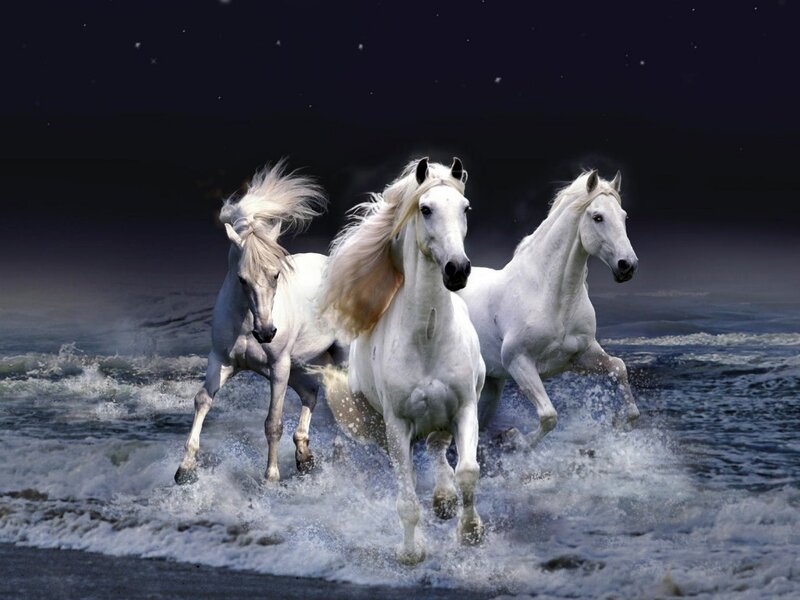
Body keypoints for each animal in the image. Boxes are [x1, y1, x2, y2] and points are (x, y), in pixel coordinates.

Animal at [174, 161, 348, 485]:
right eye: (242, 279)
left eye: (276, 274)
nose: (266, 333)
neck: (246, 323)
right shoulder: (222, 360)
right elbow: (202, 400)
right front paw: (185, 469)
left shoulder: (278, 367)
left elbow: (273, 422)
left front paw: (271, 478)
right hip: (301, 364)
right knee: (311, 393)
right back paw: (304, 457)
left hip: (336, 357)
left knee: (343, 400)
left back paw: (339, 453)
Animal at [319, 158, 486, 565]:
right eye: (425, 209)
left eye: (465, 208)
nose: (457, 269)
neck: (427, 337)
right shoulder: (397, 425)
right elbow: (407, 499)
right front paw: (412, 552)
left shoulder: (465, 407)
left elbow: (468, 471)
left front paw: (470, 532)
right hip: (381, 427)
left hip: (443, 417)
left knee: (439, 449)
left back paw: (444, 500)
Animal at [458, 169, 640, 449]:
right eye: (597, 217)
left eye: (623, 216)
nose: (627, 265)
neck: (550, 297)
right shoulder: (519, 362)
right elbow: (549, 416)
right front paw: (515, 439)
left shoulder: (580, 356)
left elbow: (619, 367)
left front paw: (621, 422)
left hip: (491, 385)